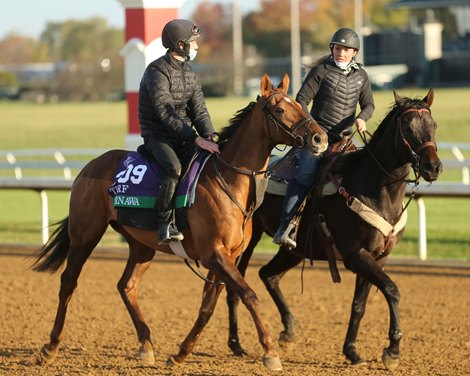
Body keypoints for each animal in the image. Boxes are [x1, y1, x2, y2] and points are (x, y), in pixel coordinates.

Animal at [31, 73, 328, 370]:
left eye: (300, 105)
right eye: (279, 109)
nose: (320, 138)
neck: (228, 180)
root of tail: (90, 166)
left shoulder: (226, 257)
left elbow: (208, 307)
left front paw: (181, 353)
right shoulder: (214, 254)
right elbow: (249, 295)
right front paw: (270, 352)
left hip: (141, 245)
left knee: (126, 286)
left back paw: (146, 344)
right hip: (85, 234)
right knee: (68, 282)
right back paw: (50, 346)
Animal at [226, 88, 442, 370]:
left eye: (433, 125)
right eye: (407, 127)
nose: (433, 167)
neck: (375, 188)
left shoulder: (378, 258)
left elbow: (359, 304)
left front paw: (352, 351)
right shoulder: (354, 255)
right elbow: (392, 290)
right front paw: (393, 350)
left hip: (295, 250)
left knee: (268, 275)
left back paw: (288, 330)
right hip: (246, 243)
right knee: (235, 286)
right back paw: (235, 343)